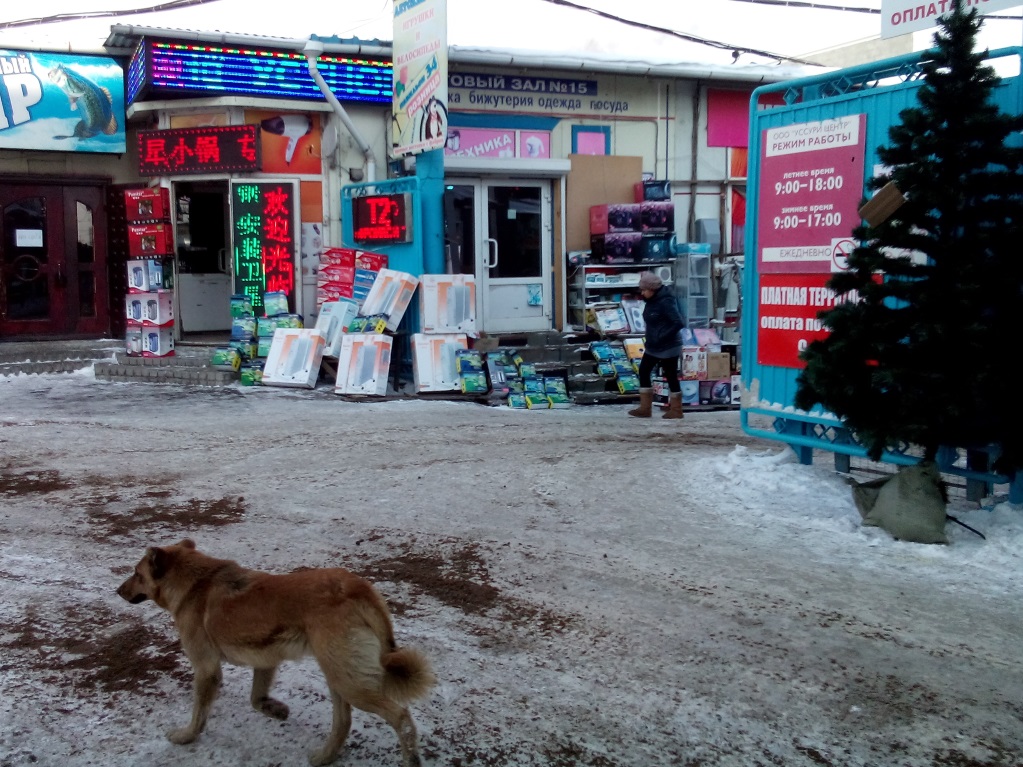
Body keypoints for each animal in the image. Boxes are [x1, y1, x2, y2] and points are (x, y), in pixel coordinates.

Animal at [116, 539, 435, 767]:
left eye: (136, 573)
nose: (117, 591)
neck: (196, 584)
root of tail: (357, 587)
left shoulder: (206, 669)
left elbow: (199, 715)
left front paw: (185, 737)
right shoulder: (265, 659)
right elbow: (256, 699)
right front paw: (276, 709)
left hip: (349, 682)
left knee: (401, 717)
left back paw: (410, 759)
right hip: (338, 673)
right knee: (343, 722)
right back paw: (325, 757)